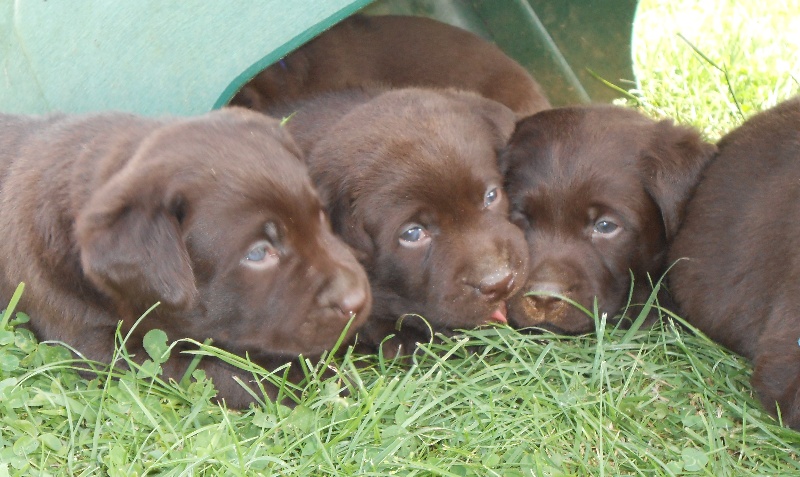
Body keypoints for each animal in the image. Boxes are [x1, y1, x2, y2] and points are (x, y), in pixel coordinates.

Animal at [0, 108, 372, 406]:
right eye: (257, 254)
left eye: (320, 216)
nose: (358, 299)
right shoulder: (99, 344)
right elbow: (218, 372)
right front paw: (309, 381)